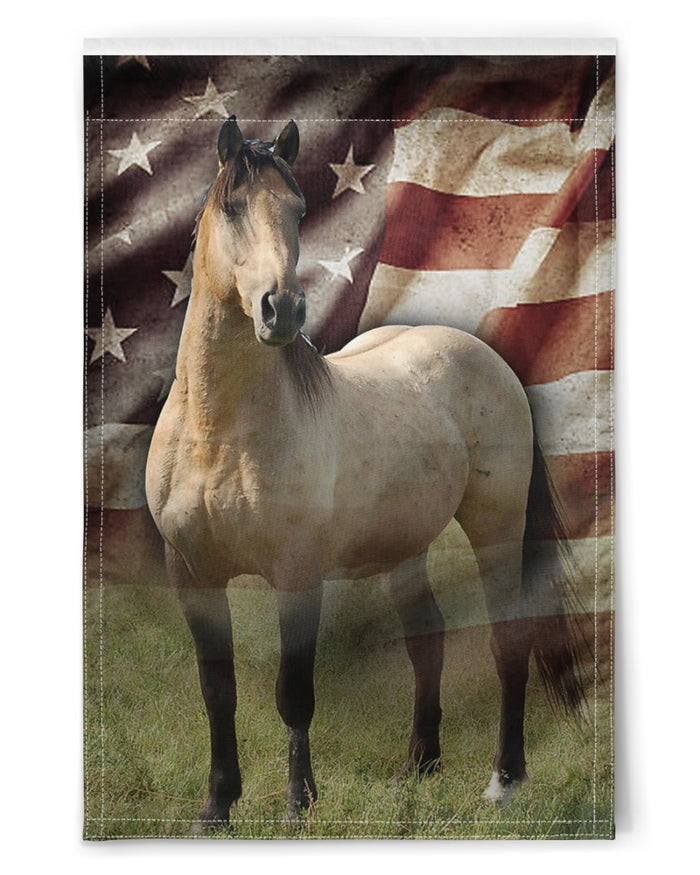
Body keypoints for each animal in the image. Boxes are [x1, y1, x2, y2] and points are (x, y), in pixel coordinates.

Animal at [145, 116, 584, 831]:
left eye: (298, 210)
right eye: (233, 207)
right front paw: (216, 806)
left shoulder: (296, 575)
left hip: (497, 528)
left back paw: (503, 781)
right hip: (403, 544)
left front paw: (298, 807)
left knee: (507, 641)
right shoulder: (192, 574)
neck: (218, 431)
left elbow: (294, 692)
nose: (282, 310)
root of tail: (487, 357)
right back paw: (418, 770)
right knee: (427, 639)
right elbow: (218, 688)